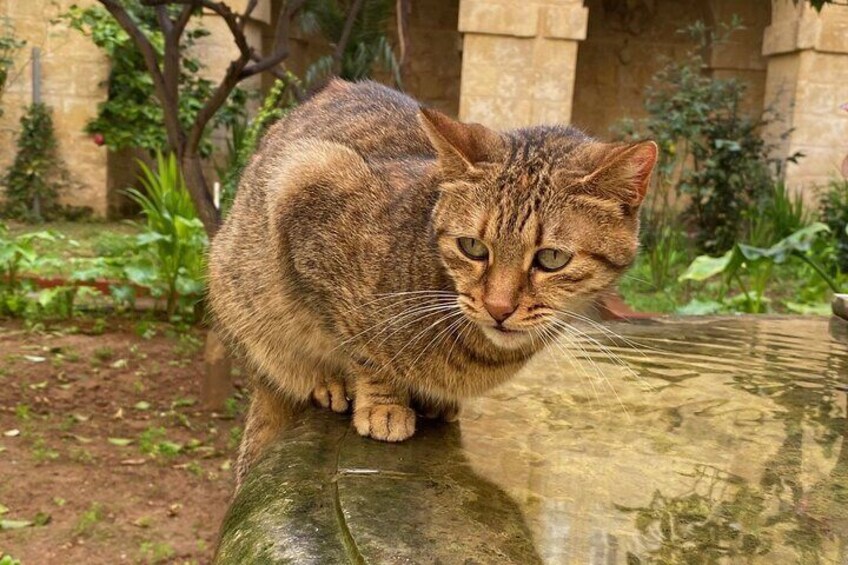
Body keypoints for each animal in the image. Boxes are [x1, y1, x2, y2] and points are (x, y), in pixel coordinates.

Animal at [207, 79, 656, 484]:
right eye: (472, 247)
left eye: (551, 258)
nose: (498, 308)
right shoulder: (308, 187)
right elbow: (362, 349)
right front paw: (383, 404)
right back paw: (325, 383)